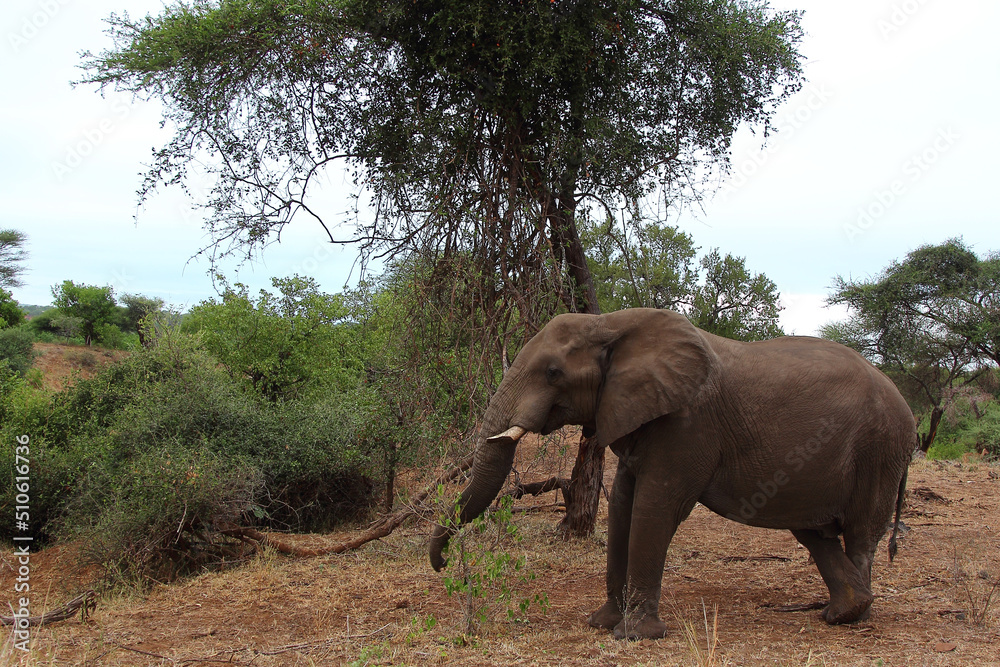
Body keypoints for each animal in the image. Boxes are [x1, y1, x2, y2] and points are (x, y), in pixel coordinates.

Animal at [429, 308, 914, 640]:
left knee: (861, 534)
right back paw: (841, 612)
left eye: (552, 372)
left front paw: (635, 635)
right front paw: (602, 623)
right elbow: (623, 506)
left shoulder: (687, 423)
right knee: (814, 531)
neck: (612, 325)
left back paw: (856, 618)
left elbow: (654, 507)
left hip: (879, 449)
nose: (445, 564)